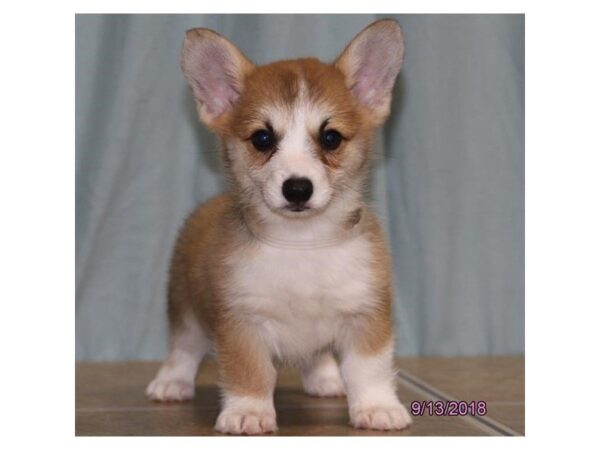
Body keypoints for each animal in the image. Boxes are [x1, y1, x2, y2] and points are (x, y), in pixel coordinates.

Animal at [146, 19, 412, 434]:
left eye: (331, 137)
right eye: (262, 138)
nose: (298, 188)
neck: (302, 242)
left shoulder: (366, 315)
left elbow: (370, 369)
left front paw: (377, 407)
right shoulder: (241, 321)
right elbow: (250, 373)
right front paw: (248, 412)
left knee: (316, 357)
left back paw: (326, 379)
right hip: (185, 310)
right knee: (183, 349)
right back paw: (171, 383)